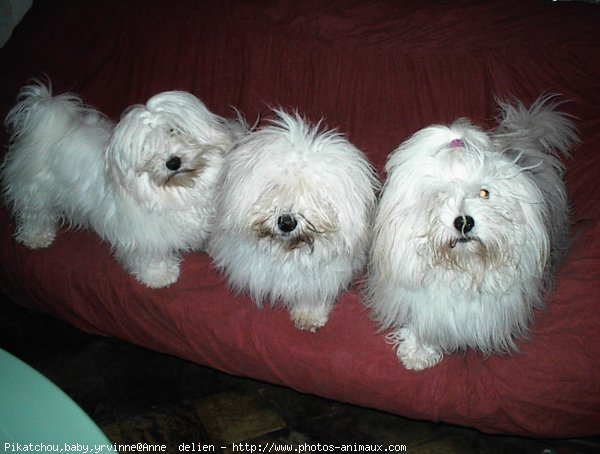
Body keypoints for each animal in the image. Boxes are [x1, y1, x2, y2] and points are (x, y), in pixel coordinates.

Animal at [1, 81, 244, 288]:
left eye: (174, 130)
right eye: (147, 147)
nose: (173, 162)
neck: (178, 190)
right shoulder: (142, 234)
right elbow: (150, 256)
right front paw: (159, 275)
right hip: (35, 191)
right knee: (34, 214)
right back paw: (36, 237)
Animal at [364, 96, 580, 368]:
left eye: (484, 193)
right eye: (439, 195)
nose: (464, 222)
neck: (465, 266)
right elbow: (420, 323)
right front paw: (417, 353)